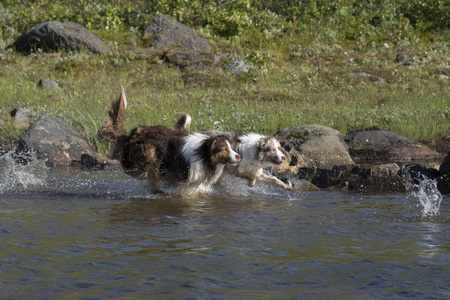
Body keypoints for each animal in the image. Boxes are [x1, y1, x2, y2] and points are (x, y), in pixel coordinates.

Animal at [98, 85, 239, 196]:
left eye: (231, 148)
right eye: (225, 149)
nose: (238, 156)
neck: (203, 154)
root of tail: (131, 134)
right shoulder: (178, 174)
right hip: (150, 156)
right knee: (152, 184)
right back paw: (160, 192)